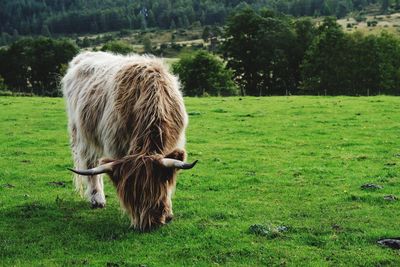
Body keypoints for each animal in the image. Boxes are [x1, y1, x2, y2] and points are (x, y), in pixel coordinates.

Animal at [61, 51, 198, 231]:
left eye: (155, 190)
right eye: (131, 197)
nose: (149, 224)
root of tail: (84, 55)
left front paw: (168, 213)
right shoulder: (117, 145)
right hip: (83, 134)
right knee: (91, 164)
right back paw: (97, 199)